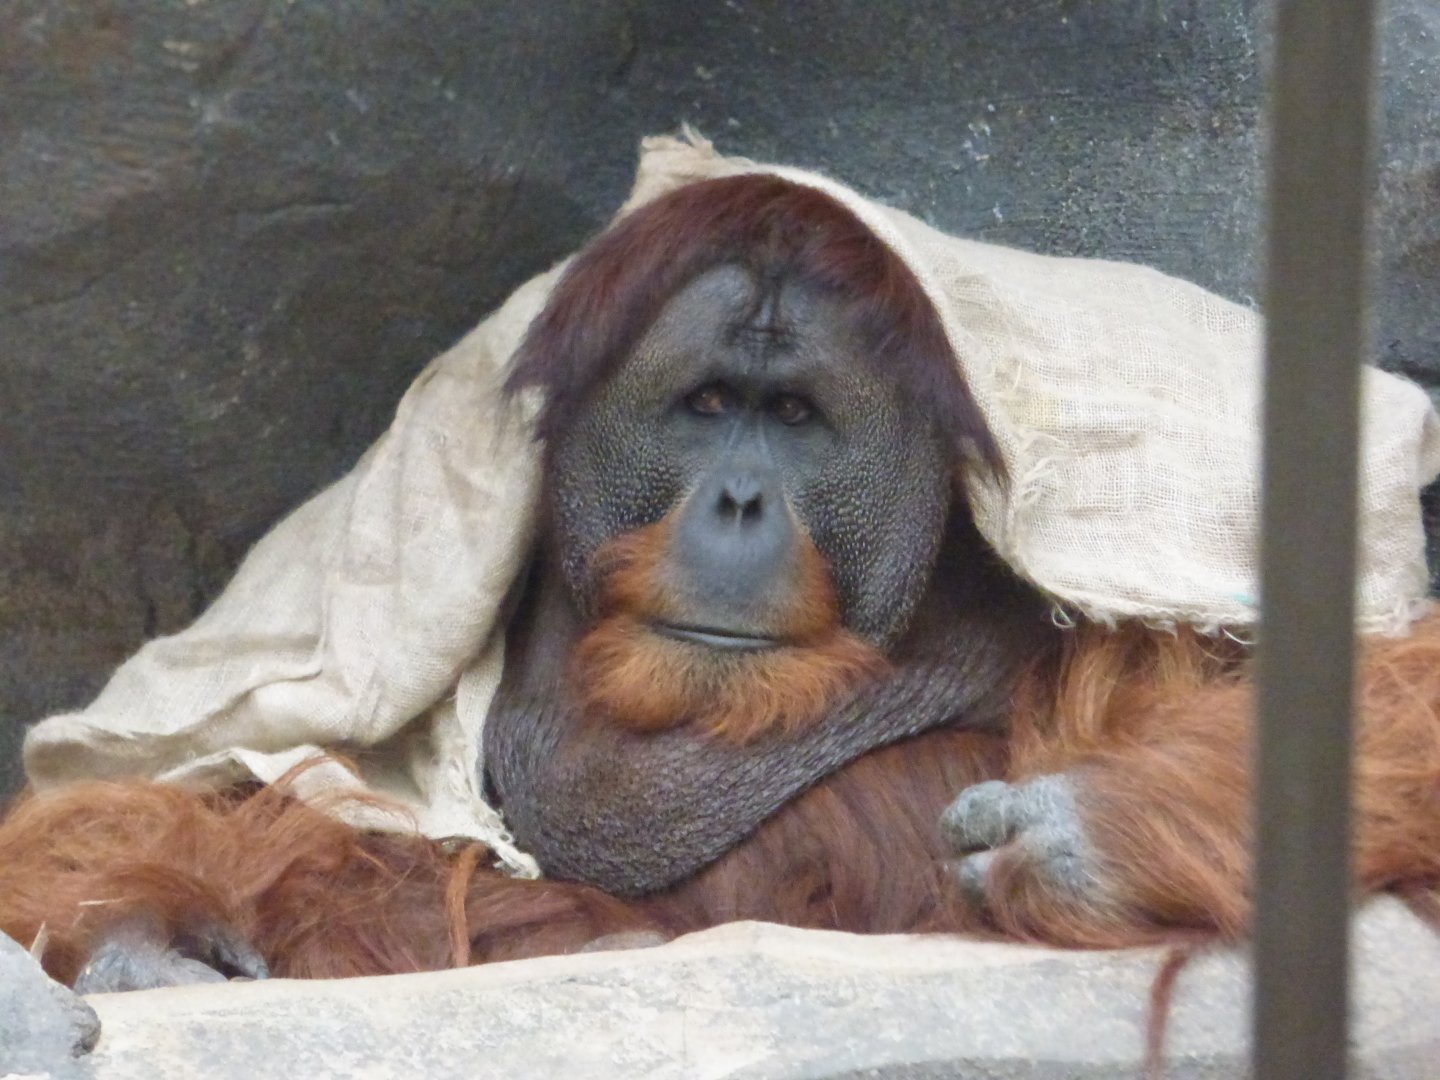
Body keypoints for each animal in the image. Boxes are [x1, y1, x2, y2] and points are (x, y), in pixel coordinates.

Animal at [2, 173, 1438, 993]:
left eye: (794, 418)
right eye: (705, 407)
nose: (740, 499)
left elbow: (1357, 675)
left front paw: (1084, 835)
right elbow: (224, 790)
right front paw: (152, 929)